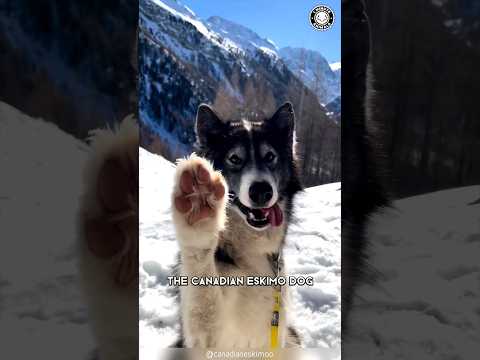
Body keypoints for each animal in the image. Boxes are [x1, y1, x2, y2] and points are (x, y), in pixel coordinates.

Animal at [171, 102, 302, 348]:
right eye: (234, 159)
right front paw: (199, 211)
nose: (261, 191)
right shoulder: (207, 337)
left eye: (270, 156)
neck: (250, 252)